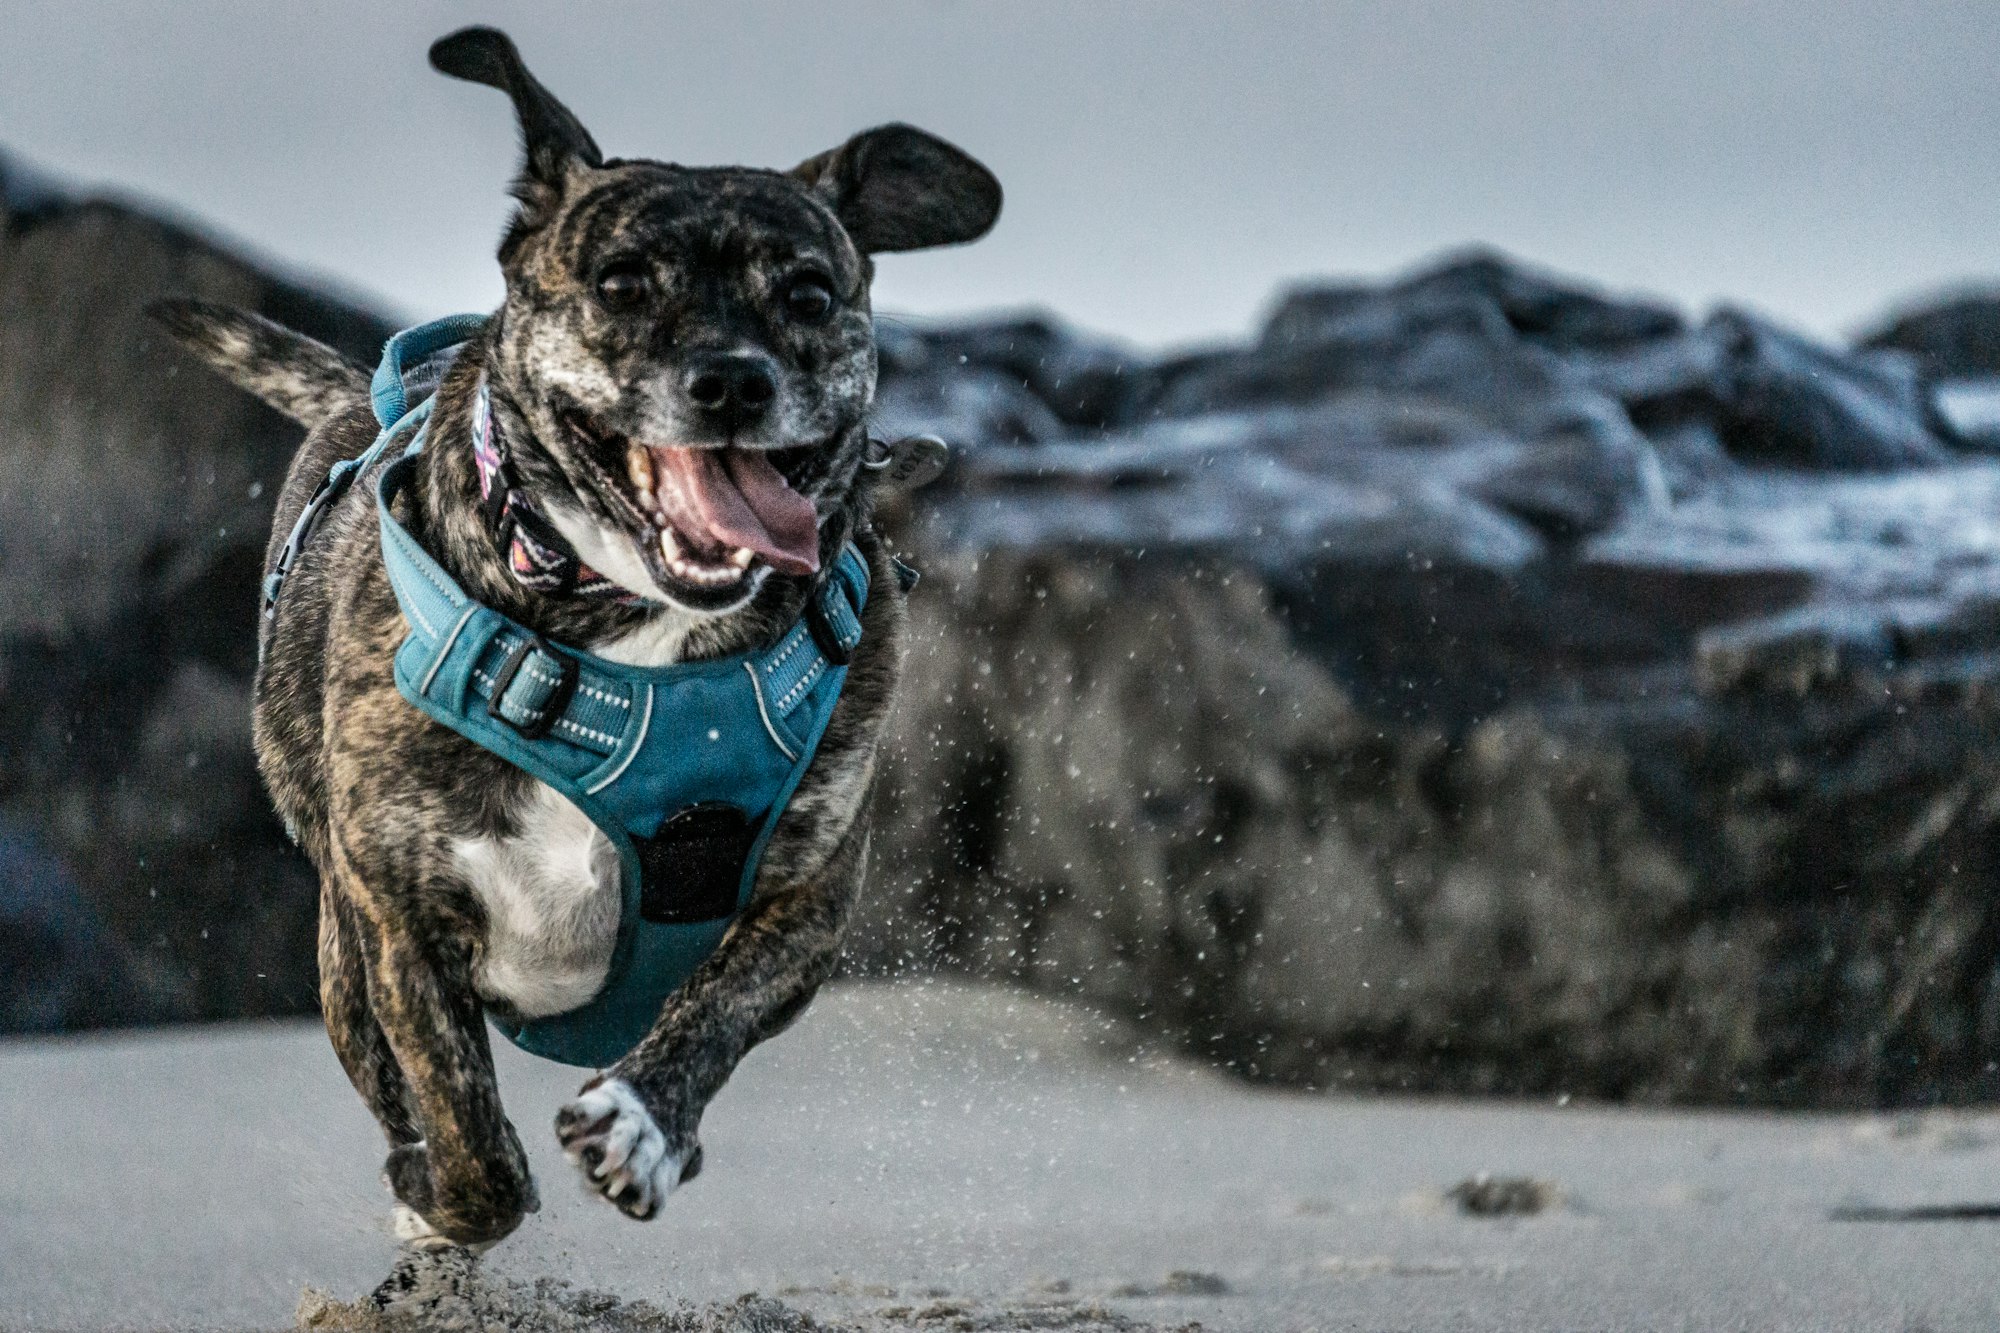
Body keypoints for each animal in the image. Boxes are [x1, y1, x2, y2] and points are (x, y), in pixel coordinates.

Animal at [148, 23, 1000, 1248]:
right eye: (620, 283)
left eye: (806, 292)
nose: (732, 380)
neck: (632, 633)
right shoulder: (396, 923)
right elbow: (471, 1147)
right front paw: (440, 1192)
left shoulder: (810, 899)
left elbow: (715, 1009)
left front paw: (644, 1125)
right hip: (340, 953)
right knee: (391, 1082)